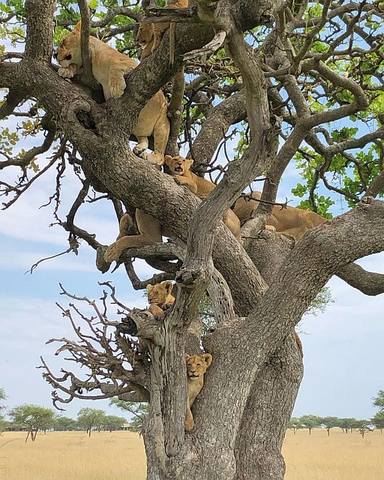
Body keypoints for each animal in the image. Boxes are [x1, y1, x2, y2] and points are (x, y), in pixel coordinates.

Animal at [56, 22, 170, 165]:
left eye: (63, 41)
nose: (54, 54)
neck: (92, 57)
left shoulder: (132, 65)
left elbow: (114, 67)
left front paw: (116, 88)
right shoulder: (89, 81)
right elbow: (74, 67)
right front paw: (66, 71)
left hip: (162, 124)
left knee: (161, 156)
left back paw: (151, 157)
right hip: (139, 128)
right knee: (144, 138)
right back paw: (139, 148)